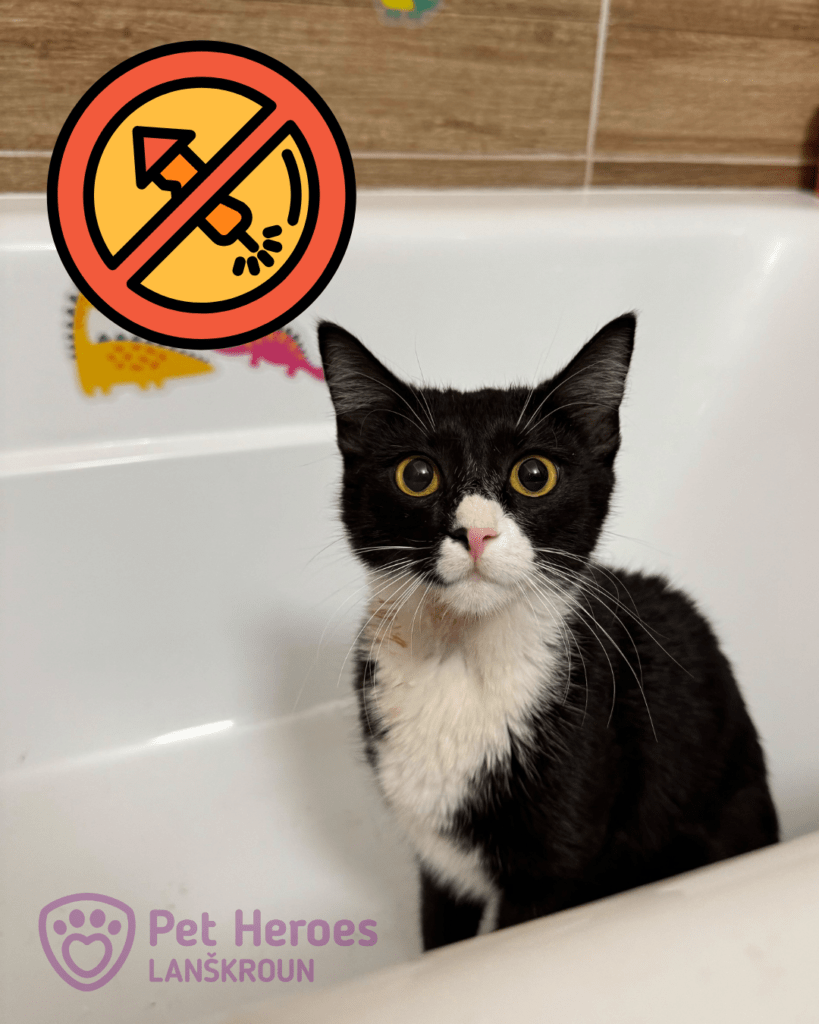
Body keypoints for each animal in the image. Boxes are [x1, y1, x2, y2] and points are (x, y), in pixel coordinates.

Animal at [317, 314, 779, 951]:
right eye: (417, 474)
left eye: (534, 474)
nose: (476, 533)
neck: (462, 663)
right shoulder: (439, 863)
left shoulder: (556, 865)